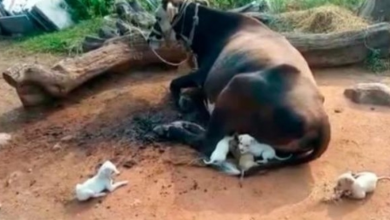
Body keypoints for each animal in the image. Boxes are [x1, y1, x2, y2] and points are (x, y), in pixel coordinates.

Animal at [146, 0, 330, 175]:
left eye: (157, 17)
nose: (148, 39)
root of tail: (322, 123)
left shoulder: (202, 75)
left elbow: (174, 83)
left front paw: (182, 102)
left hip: (236, 86)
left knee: (207, 141)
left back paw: (168, 129)